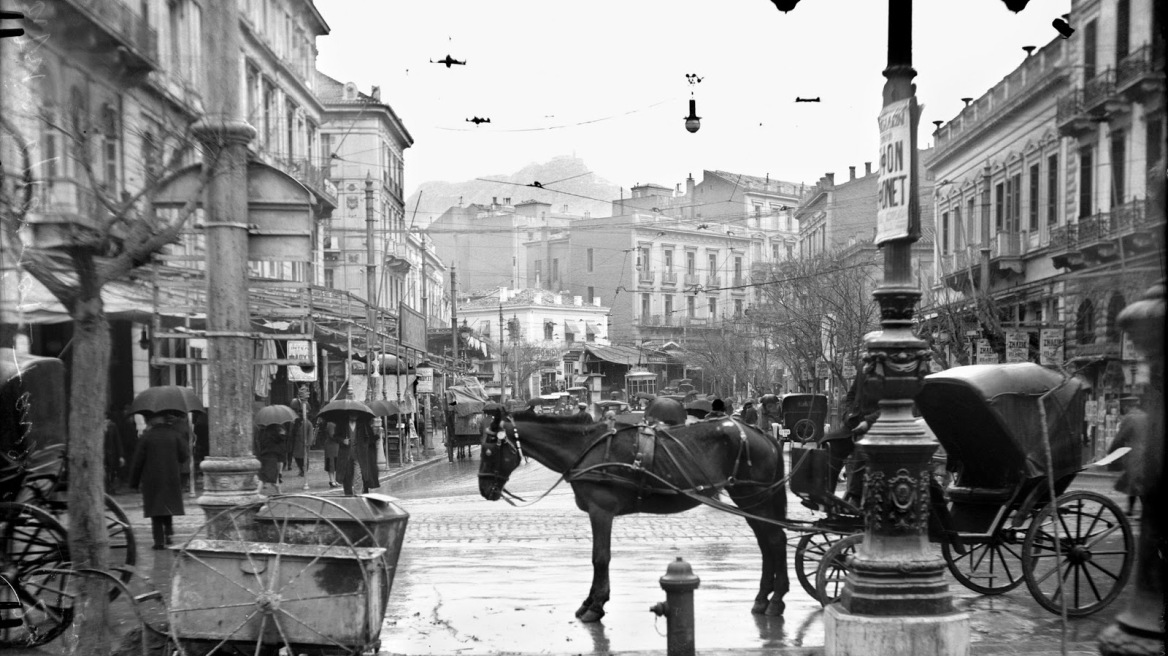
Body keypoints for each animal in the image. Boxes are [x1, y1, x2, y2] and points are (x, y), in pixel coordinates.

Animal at [478, 406, 789, 620]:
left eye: (489, 451)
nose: (484, 489)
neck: (586, 449)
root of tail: (761, 433)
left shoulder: (601, 511)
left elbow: (600, 558)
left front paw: (596, 605)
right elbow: (598, 558)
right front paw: (591, 601)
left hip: (753, 498)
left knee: (774, 541)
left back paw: (774, 600)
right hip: (752, 501)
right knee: (768, 543)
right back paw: (764, 598)